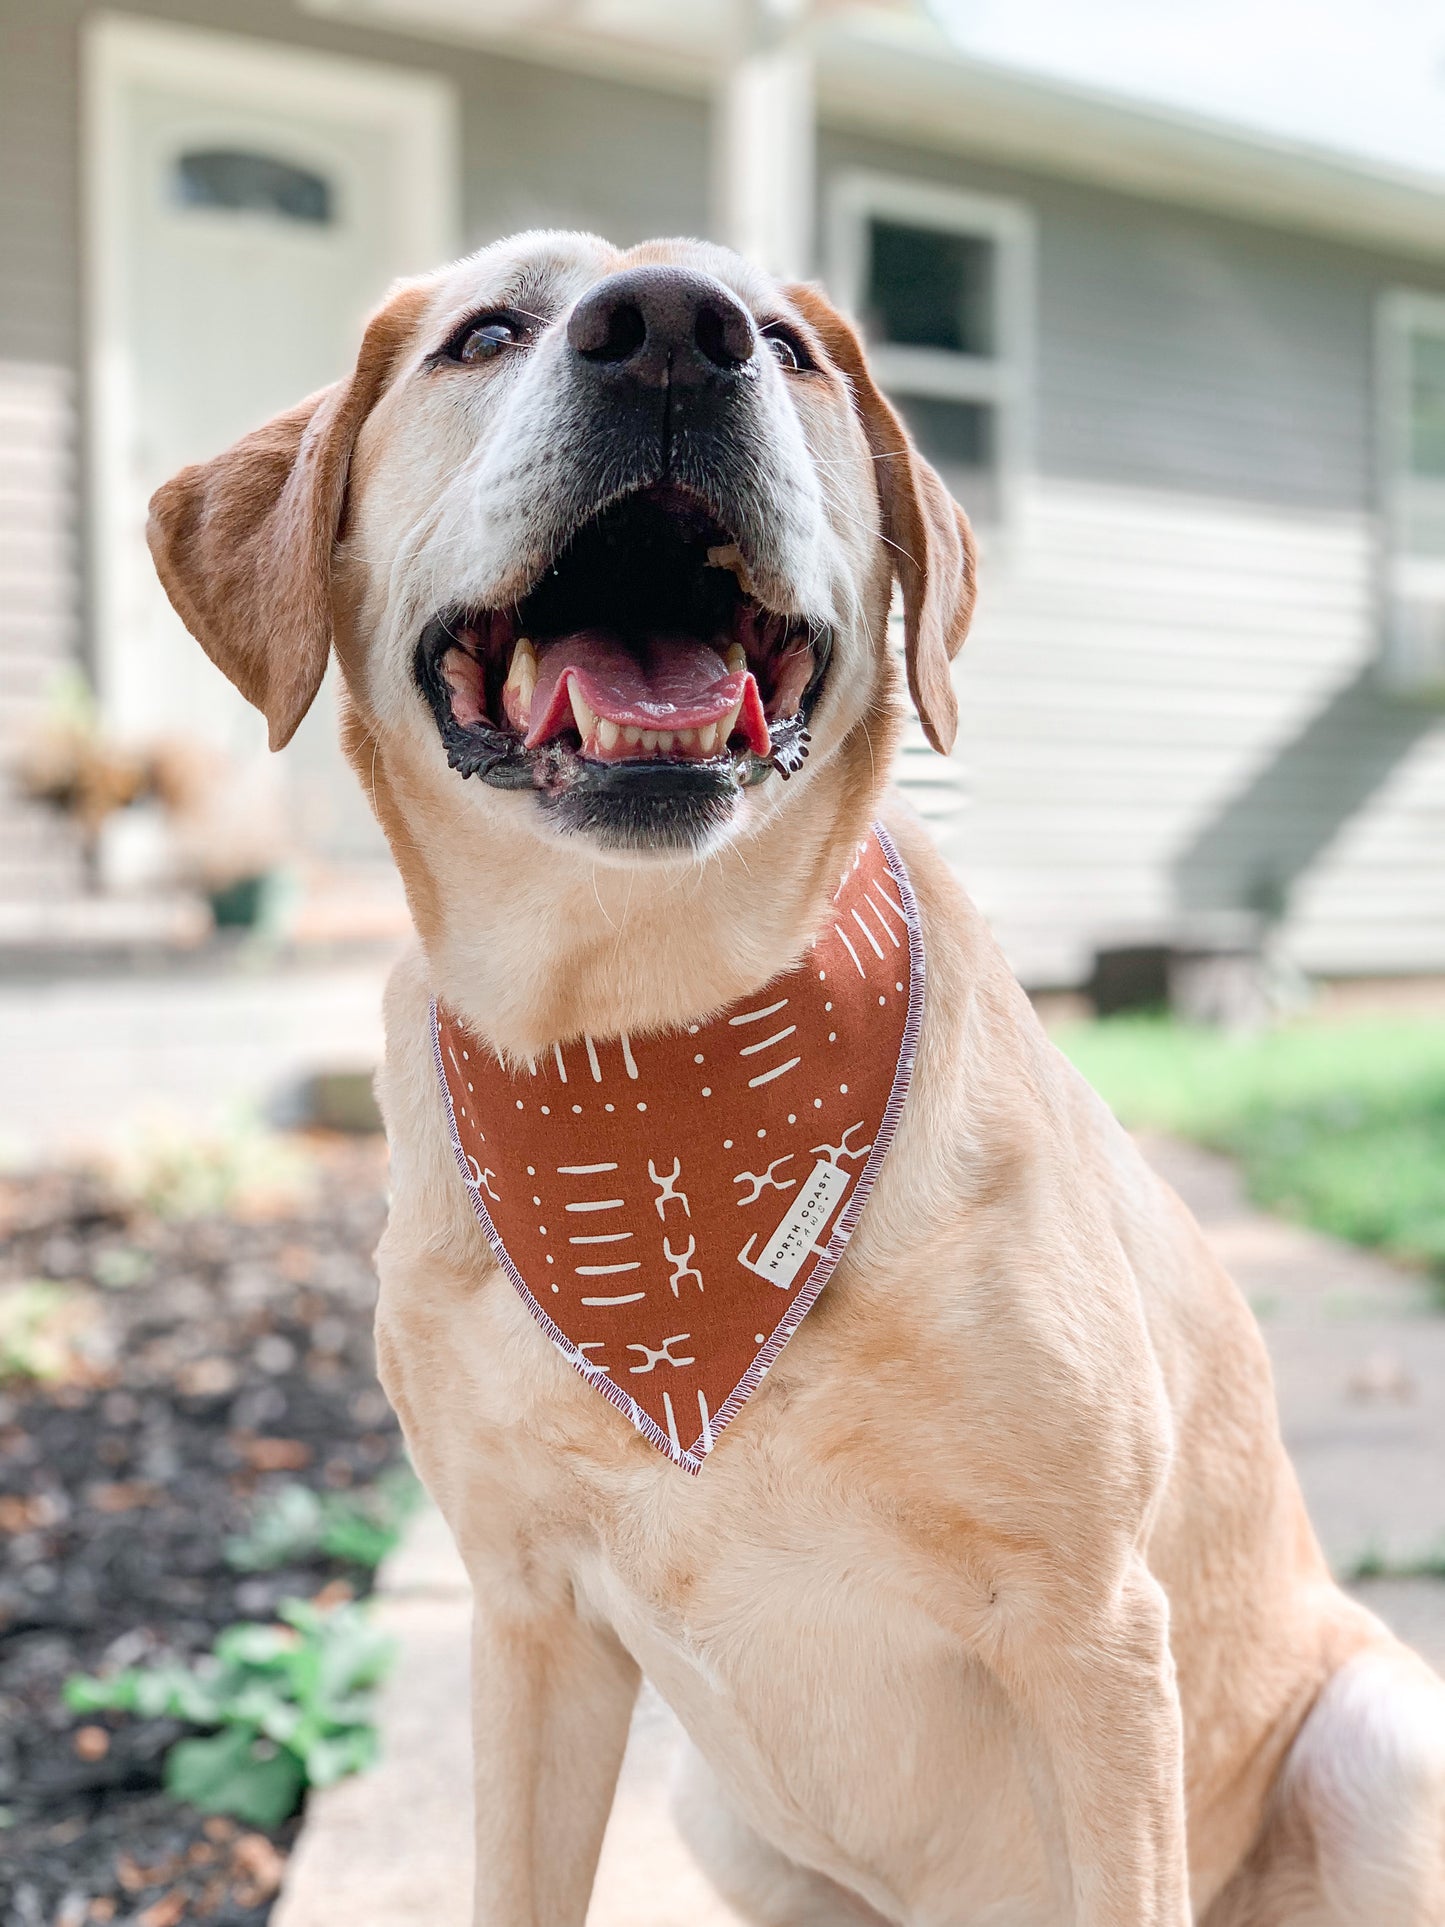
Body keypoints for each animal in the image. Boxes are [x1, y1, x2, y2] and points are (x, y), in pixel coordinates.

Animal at [150, 237, 1445, 1927]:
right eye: (484, 333)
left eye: (784, 342)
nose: (670, 335)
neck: (648, 1053)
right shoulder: (528, 1614)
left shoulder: (1093, 1627)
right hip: (724, 1813)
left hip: (1384, 1740)